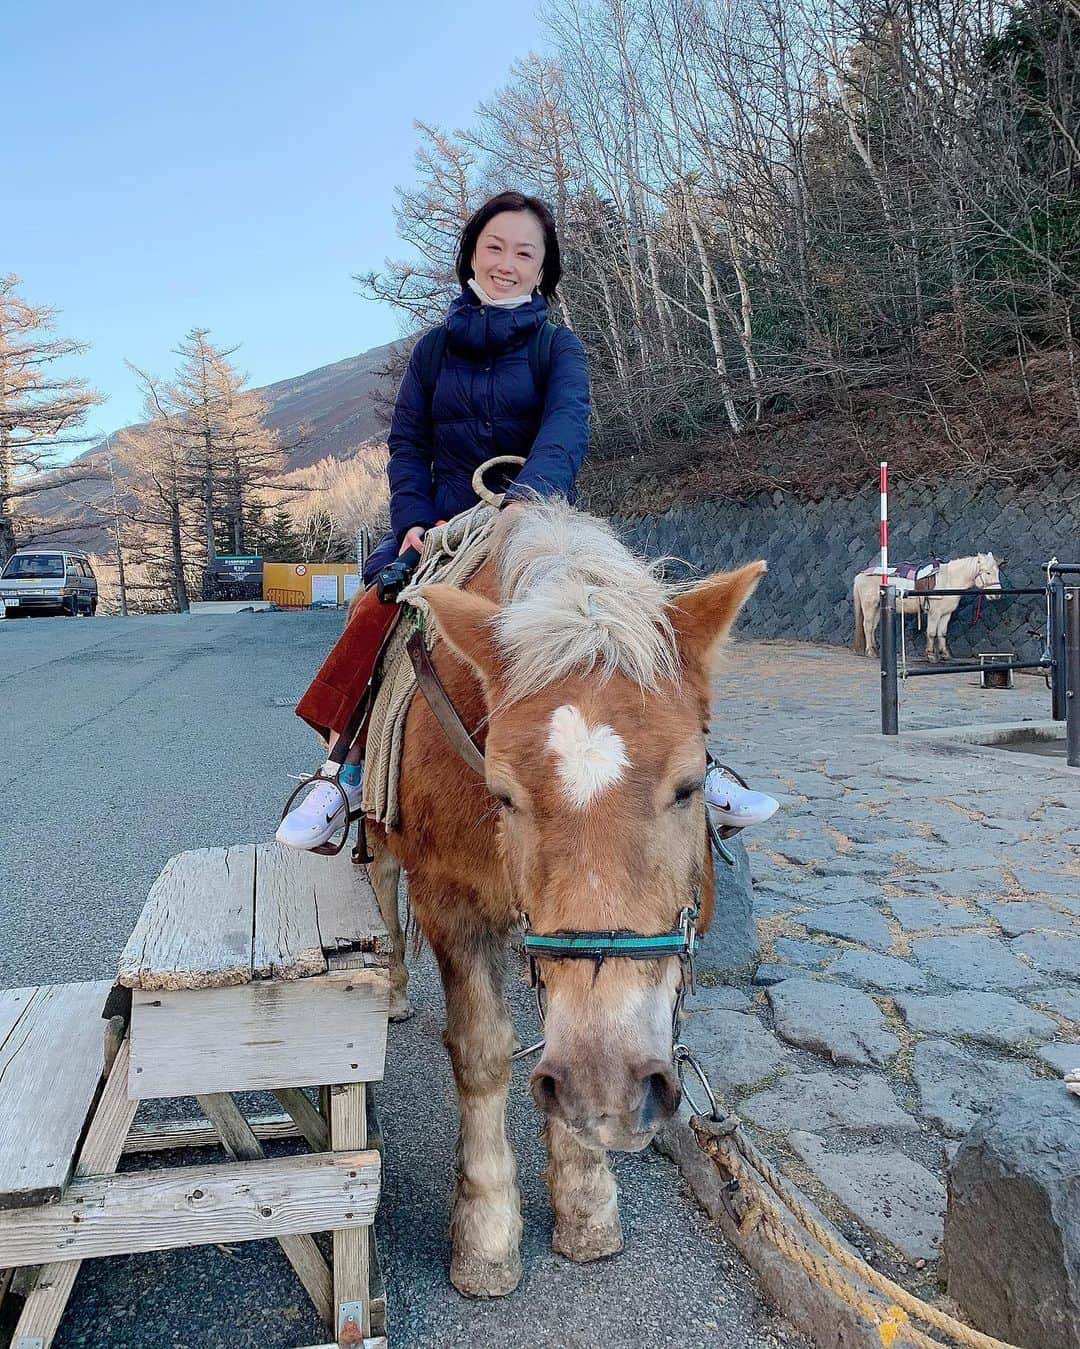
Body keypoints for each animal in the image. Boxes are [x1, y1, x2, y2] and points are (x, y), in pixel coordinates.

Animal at [366, 504, 760, 1295]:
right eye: (503, 794)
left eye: (688, 786)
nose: (608, 1086)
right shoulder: (451, 905)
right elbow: (482, 1052)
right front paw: (487, 1231)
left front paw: (585, 1199)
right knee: (382, 887)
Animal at [857, 553, 997, 663]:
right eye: (988, 572)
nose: (996, 594)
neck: (948, 580)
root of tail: (861, 574)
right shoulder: (934, 613)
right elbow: (931, 633)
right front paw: (930, 655)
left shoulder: (946, 614)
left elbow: (942, 633)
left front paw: (944, 654)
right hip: (869, 606)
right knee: (867, 626)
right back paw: (870, 652)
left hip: (877, 608)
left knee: (873, 627)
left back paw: (875, 650)